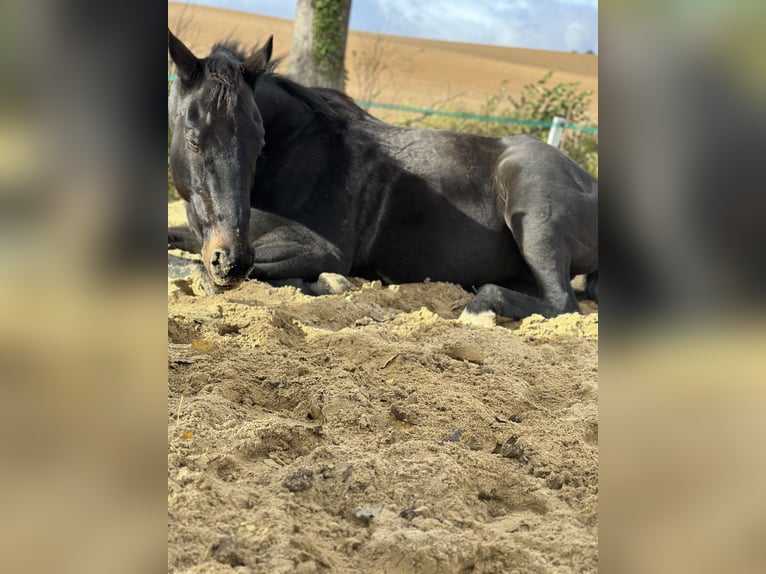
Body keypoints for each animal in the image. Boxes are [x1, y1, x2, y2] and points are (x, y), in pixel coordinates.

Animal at [167, 30, 598, 321]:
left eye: (260, 143)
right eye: (193, 138)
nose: (232, 262)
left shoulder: (322, 249)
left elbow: (194, 268)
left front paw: (328, 283)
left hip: (535, 218)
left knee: (563, 303)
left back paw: (480, 310)